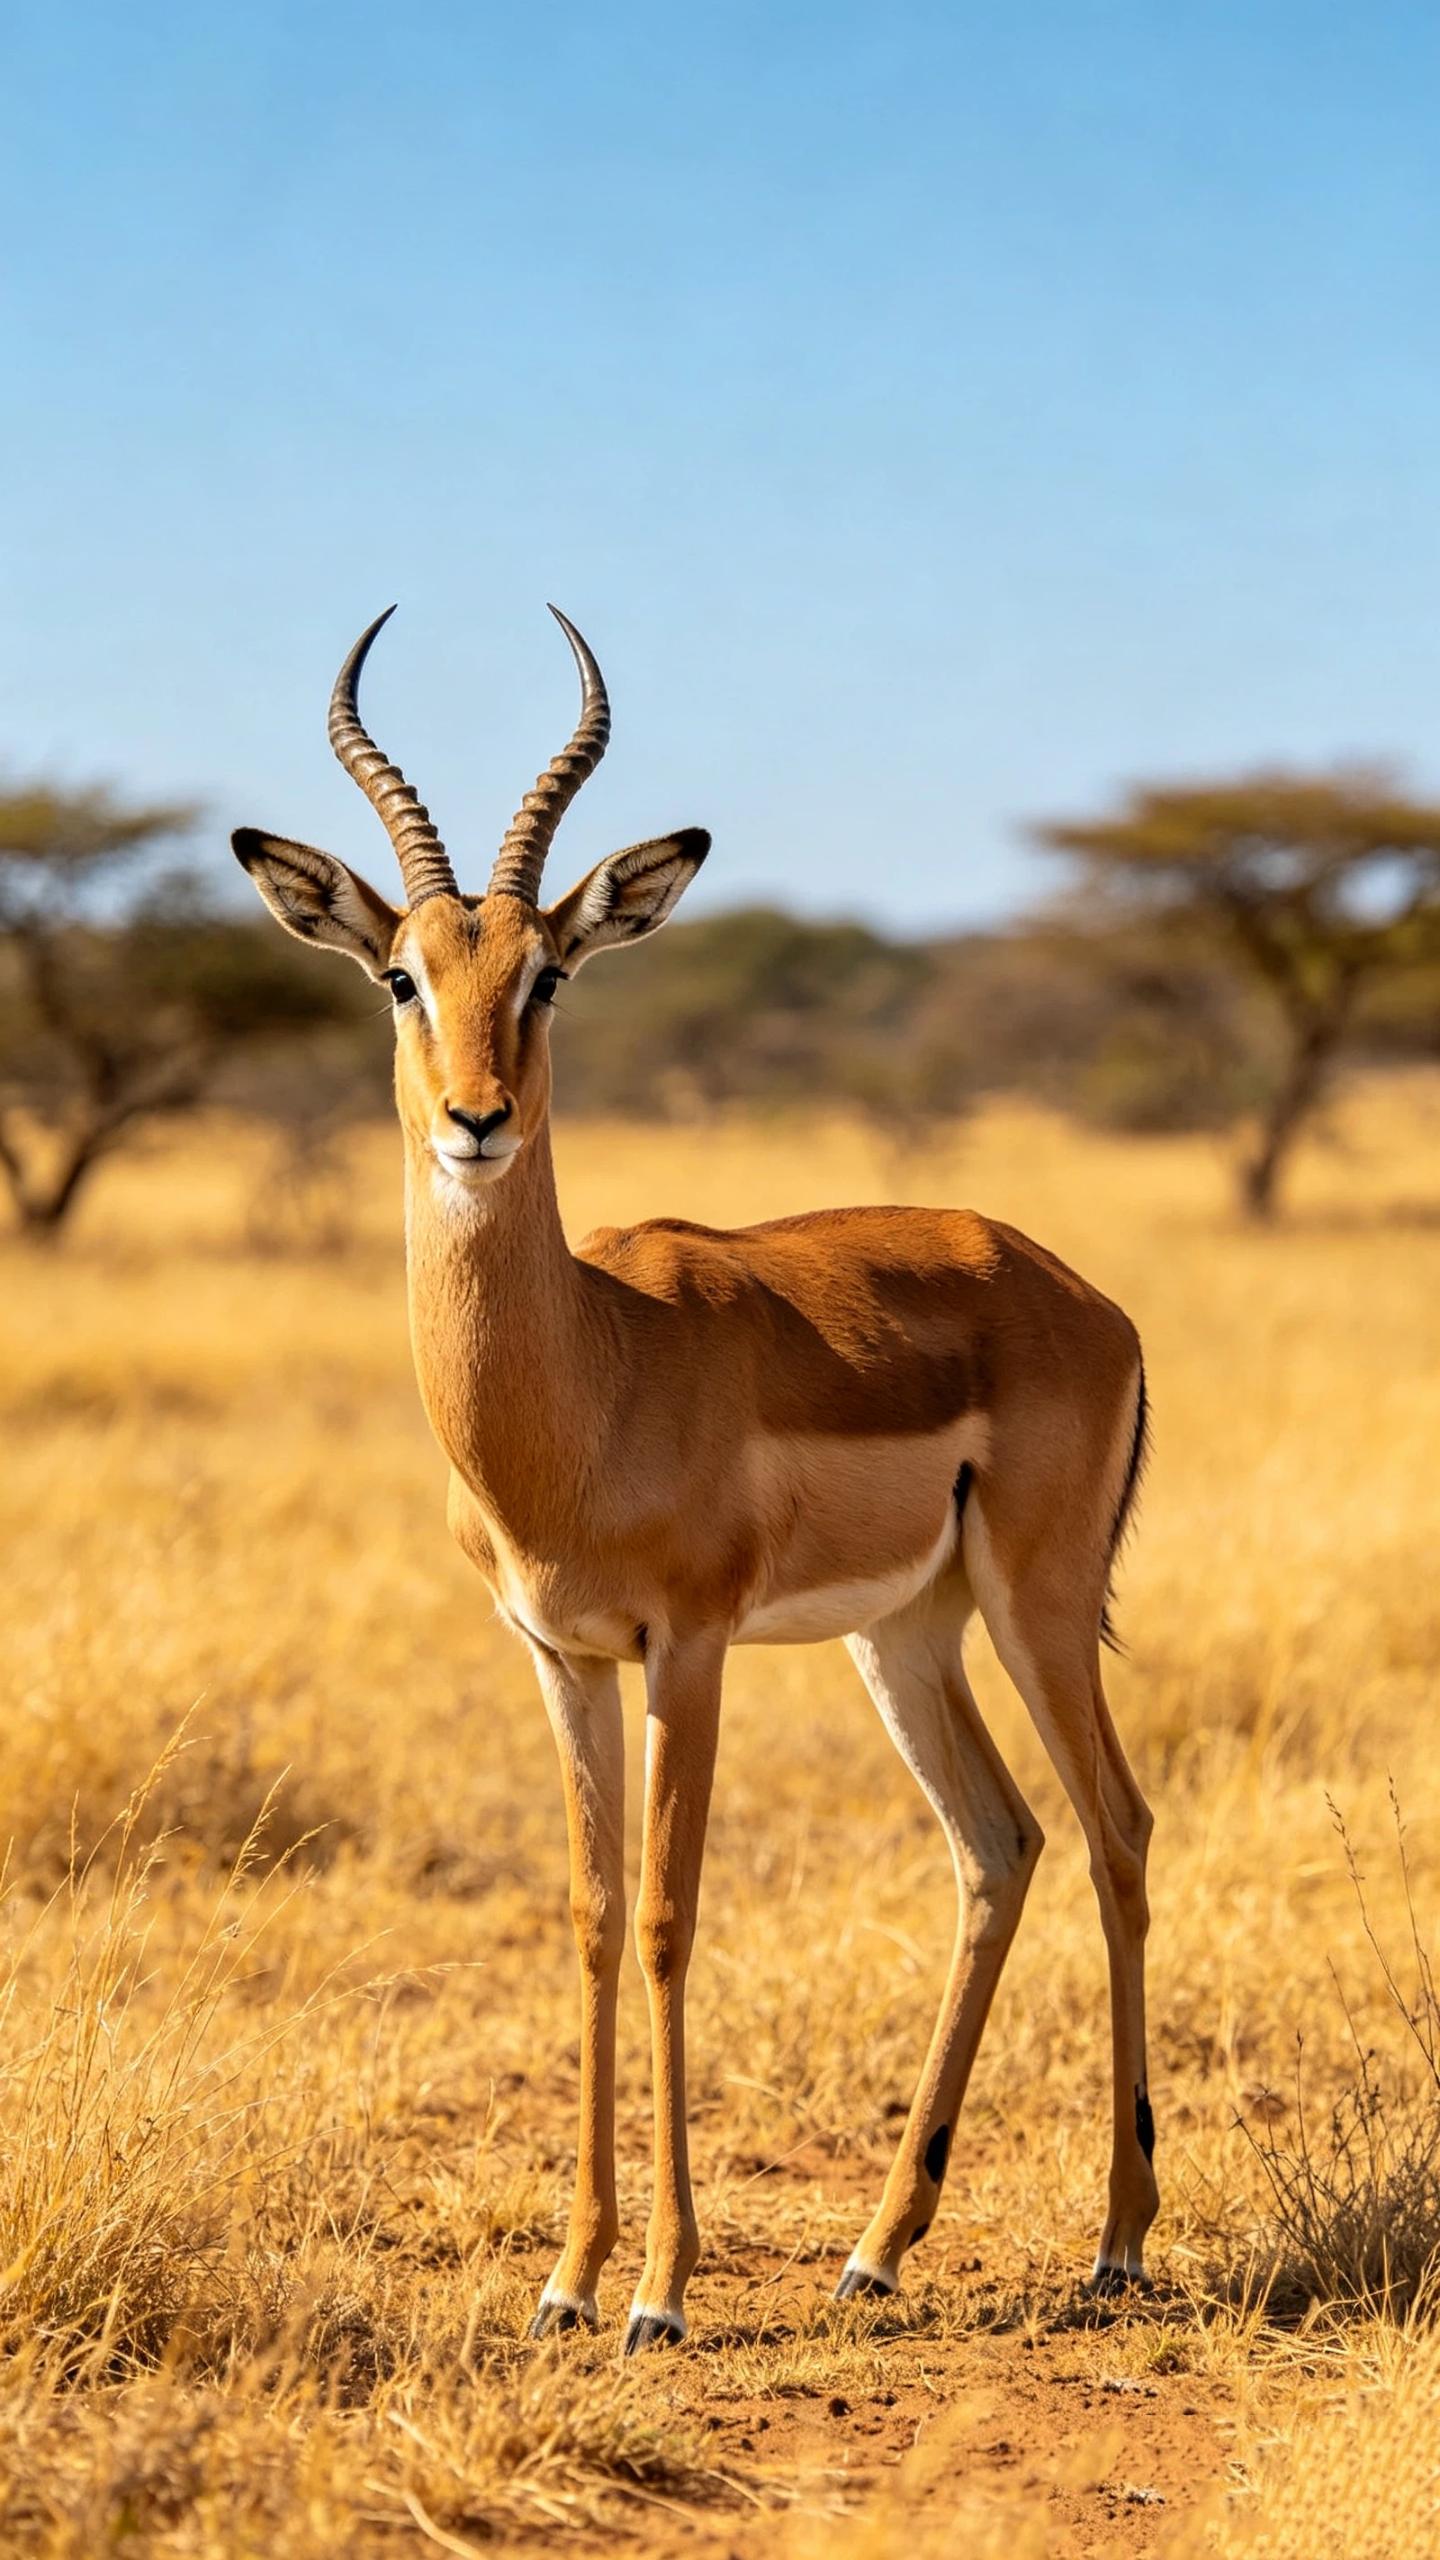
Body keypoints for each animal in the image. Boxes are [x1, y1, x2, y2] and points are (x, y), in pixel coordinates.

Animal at [234, 607, 1157, 2353]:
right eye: (401, 974)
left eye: (548, 973)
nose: (475, 1121)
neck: (592, 1379)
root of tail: (1076, 1289)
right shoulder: (561, 1658)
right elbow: (595, 1917)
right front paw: (569, 2277)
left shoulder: (695, 1647)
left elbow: (670, 1917)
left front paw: (662, 2290)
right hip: (906, 1636)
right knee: (1000, 1845)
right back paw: (879, 2248)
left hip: (1039, 1606)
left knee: (1119, 1830)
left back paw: (1120, 2244)